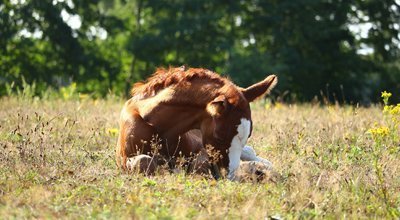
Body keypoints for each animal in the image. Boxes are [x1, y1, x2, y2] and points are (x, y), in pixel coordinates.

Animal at [115, 66, 278, 180]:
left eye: (248, 135)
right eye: (219, 136)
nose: (230, 176)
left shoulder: (201, 149)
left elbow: (199, 164)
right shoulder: (124, 159)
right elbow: (143, 162)